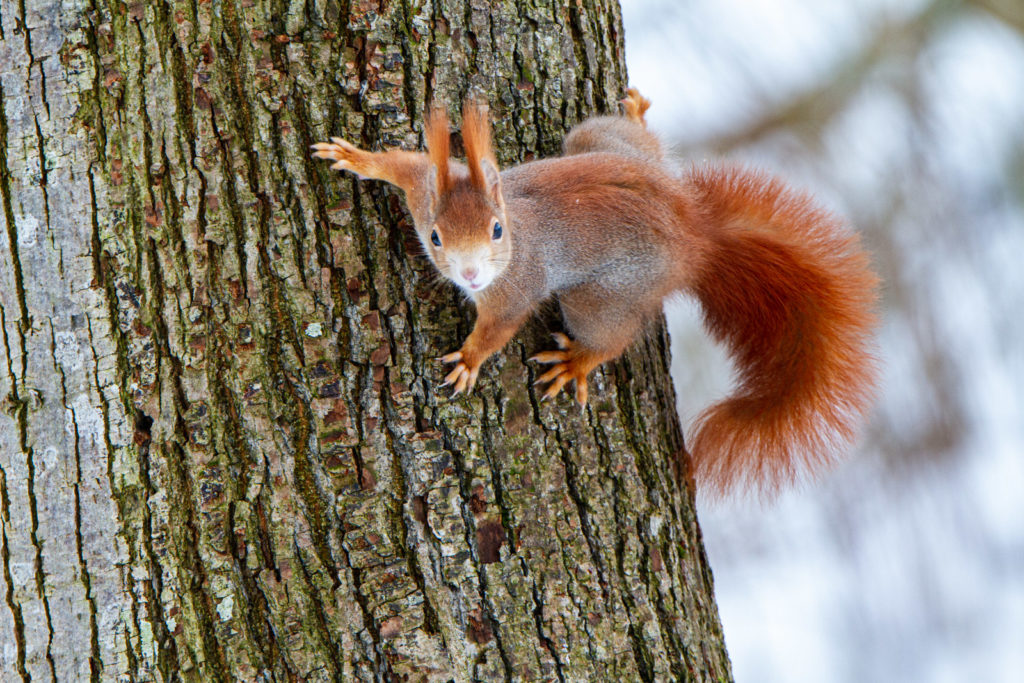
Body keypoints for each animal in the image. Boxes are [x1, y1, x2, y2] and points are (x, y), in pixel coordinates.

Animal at [307, 90, 876, 497]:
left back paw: (577, 362)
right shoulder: (426, 190)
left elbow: (498, 329)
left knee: (612, 335)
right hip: (597, 141)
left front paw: (470, 360)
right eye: (435, 238)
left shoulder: (515, 288)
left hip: (598, 297)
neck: (516, 233)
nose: (470, 277)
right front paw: (356, 157)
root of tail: (696, 238)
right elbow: (406, 165)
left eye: (496, 231)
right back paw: (638, 117)